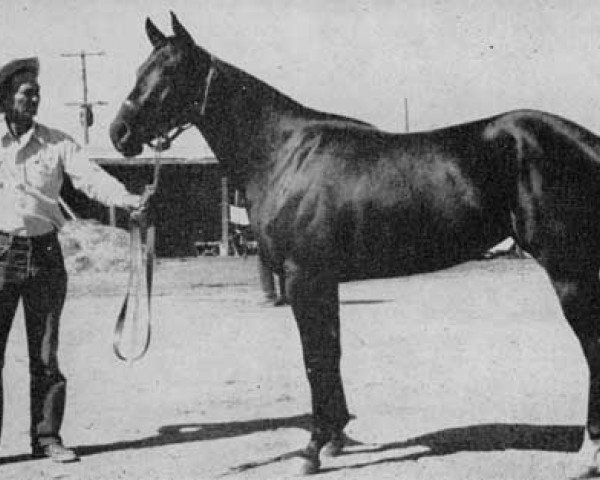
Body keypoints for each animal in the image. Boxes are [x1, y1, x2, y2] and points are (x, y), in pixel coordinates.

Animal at [110, 11, 600, 476]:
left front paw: (311, 450)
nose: (119, 133)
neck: (283, 152)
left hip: (569, 272)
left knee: (592, 346)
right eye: (140, 68)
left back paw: (587, 452)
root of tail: (585, 141)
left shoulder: (302, 278)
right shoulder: (323, 281)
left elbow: (314, 359)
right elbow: (332, 354)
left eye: (171, 70)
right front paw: (335, 438)